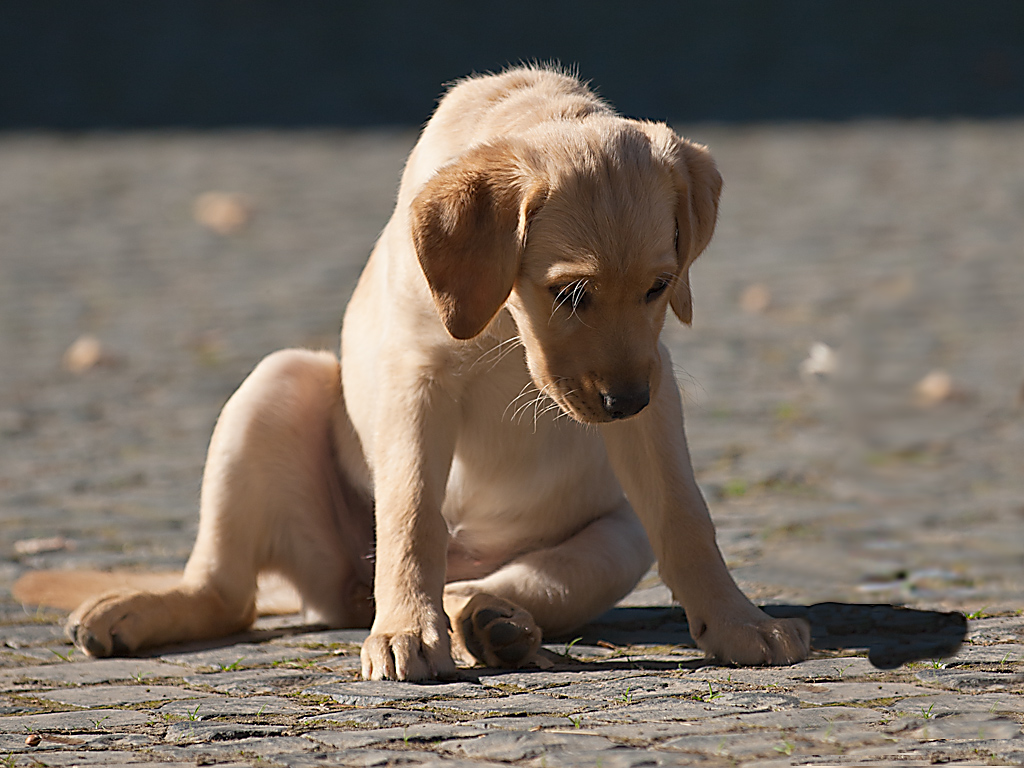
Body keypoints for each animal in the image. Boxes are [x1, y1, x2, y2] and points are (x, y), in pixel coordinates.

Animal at [39, 66, 806, 679]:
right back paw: (145, 607)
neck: (506, 323)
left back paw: (493, 621)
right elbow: (411, 513)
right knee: (226, 593)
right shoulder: (416, 378)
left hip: (616, 538)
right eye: (569, 293)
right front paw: (408, 627)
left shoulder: (657, 384)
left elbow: (685, 514)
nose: (624, 403)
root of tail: (339, 594)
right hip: (274, 386)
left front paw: (737, 622)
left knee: (512, 583)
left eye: (660, 286)